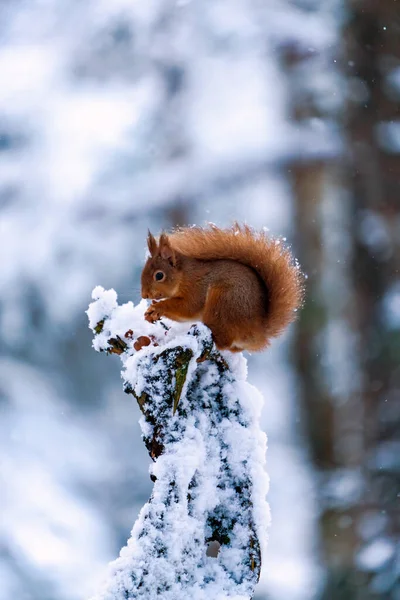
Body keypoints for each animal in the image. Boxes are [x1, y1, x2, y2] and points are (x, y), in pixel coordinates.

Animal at [141, 224, 304, 352]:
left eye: (159, 275)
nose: (144, 295)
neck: (184, 276)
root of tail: (258, 332)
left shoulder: (197, 289)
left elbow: (188, 308)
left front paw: (158, 307)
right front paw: (151, 311)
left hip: (223, 304)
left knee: (223, 342)